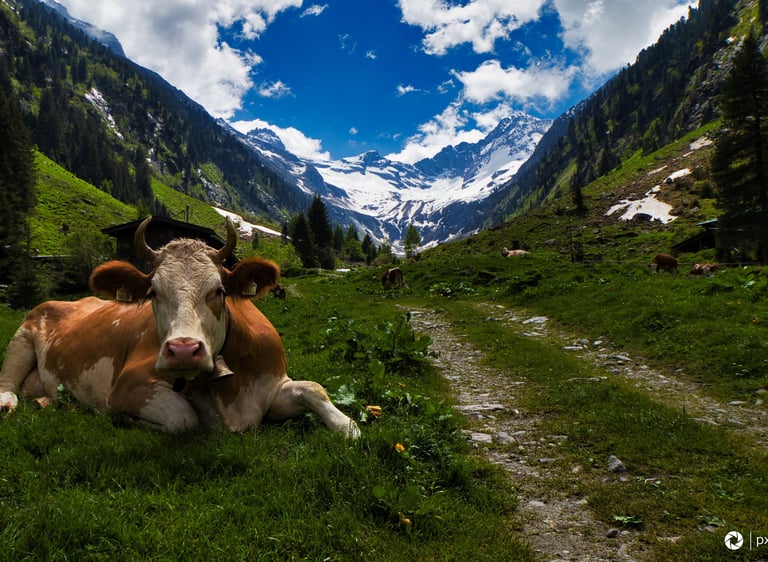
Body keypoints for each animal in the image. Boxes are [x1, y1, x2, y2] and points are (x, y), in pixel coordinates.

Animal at [0, 217, 360, 438]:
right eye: (152, 292)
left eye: (219, 291)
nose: (184, 350)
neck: (230, 394)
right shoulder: (128, 385)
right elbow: (184, 418)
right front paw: (126, 418)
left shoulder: (273, 383)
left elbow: (314, 389)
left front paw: (348, 426)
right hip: (22, 337)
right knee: (6, 384)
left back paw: (46, 401)